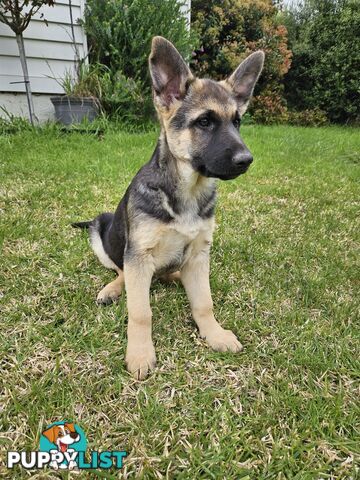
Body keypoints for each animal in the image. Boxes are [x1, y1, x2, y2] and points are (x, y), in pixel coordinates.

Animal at [73, 36, 264, 378]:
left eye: (237, 122)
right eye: (205, 121)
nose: (246, 160)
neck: (187, 190)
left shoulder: (200, 252)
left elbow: (204, 303)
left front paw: (214, 333)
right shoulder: (138, 254)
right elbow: (140, 311)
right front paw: (139, 353)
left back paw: (174, 276)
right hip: (101, 234)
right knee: (120, 269)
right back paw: (113, 288)